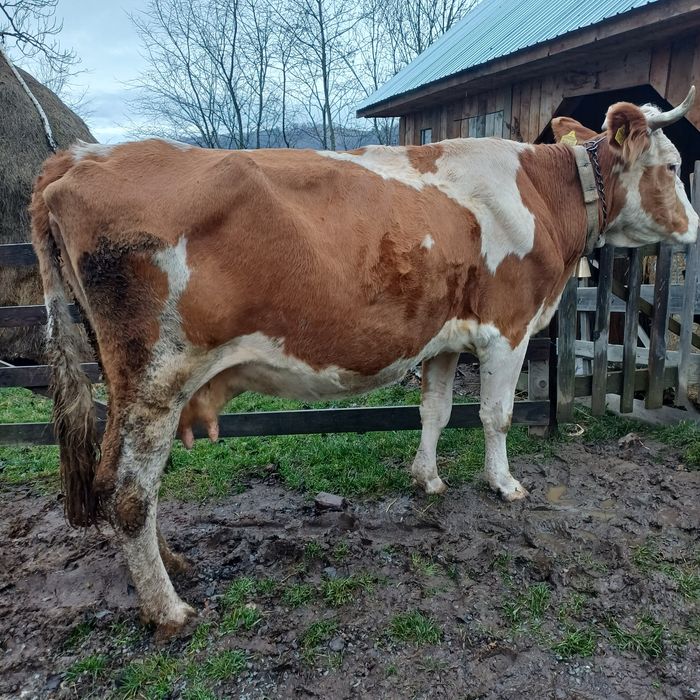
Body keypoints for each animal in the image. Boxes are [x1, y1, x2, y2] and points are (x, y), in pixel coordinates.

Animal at [31, 88, 697, 637]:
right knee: (128, 490)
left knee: (126, 480)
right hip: (156, 375)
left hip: (126, 380)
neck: (541, 194)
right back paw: (167, 608)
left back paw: (171, 563)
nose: (694, 227)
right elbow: (496, 416)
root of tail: (80, 157)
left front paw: (427, 478)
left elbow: (435, 411)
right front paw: (503, 484)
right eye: (672, 165)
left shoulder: (444, 338)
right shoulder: (506, 330)